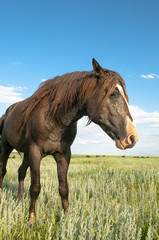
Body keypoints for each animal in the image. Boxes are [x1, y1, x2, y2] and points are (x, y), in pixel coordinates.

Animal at [0, 58, 138, 225]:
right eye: (113, 93)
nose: (132, 137)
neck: (53, 118)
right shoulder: (35, 151)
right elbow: (35, 187)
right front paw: (31, 220)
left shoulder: (63, 154)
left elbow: (64, 188)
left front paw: (66, 220)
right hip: (6, 147)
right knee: (3, 171)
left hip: (26, 153)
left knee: (21, 171)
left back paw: (19, 200)